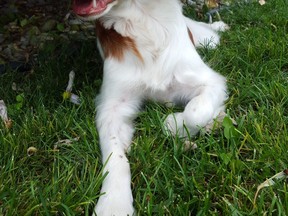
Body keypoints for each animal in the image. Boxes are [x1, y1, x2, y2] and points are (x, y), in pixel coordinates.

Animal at [72, 0, 230, 216]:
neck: (145, 21)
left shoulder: (210, 80)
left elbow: (196, 111)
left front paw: (174, 123)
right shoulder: (112, 107)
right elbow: (115, 155)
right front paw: (114, 202)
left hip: (208, 40)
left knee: (208, 33)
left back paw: (218, 25)